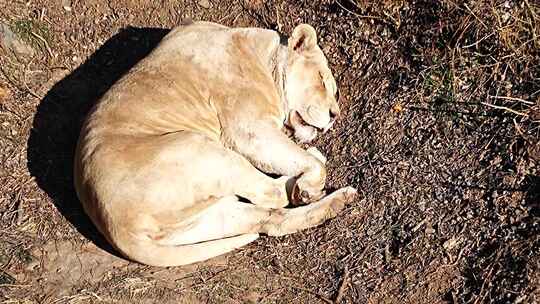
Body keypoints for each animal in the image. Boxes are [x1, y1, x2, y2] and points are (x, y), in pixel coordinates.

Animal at [73, 21, 358, 266]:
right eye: (322, 80)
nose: (334, 115)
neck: (261, 54)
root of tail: (115, 228)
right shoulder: (248, 129)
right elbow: (305, 164)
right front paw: (309, 181)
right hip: (196, 146)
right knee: (271, 195)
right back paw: (310, 183)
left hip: (207, 216)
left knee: (270, 219)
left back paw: (338, 200)